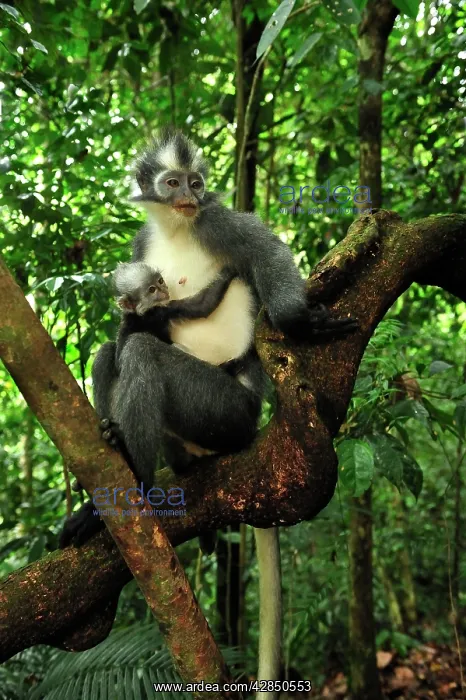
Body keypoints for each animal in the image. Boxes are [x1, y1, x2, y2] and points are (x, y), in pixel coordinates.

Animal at [60, 128, 357, 694]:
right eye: (172, 182)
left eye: (197, 183)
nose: (189, 196)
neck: (178, 227)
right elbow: (120, 335)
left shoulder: (219, 220)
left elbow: (264, 251)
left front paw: (298, 320)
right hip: (185, 439)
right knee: (113, 353)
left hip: (224, 411)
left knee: (144, 354)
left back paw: (135, 482)